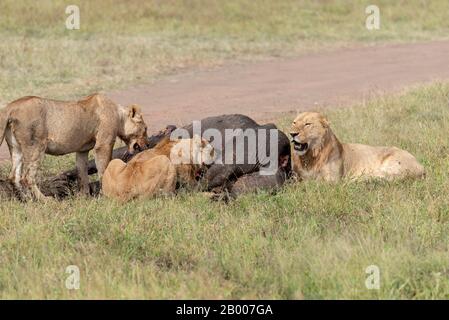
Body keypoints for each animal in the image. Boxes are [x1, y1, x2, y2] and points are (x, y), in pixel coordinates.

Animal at [290, 111, 424, 181]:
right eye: (294, 122)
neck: (310, 157)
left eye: (307, 124)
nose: (292, 134)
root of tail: (422, 167)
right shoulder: (296, 177)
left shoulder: (333, 180)